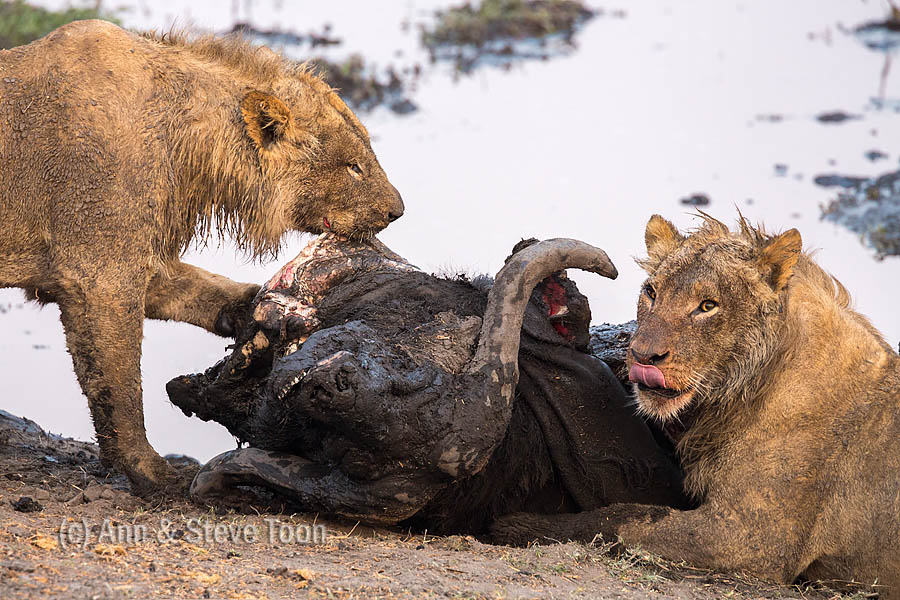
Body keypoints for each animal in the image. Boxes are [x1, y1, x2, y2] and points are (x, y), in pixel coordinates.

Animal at [0, 20, 404, 493]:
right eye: (353, 166)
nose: (397, 211)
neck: (188, 148)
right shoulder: (100, 272)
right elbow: (118, 383)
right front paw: (148, 470)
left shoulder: (132, 257)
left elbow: (197, 291)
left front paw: (257, 314)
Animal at [493, 214, 900, 597]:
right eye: (651, 292)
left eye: (708, 306)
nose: (643, 355)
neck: (745, 389)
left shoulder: (751, 539)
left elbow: (624, 518)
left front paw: (517, 525)